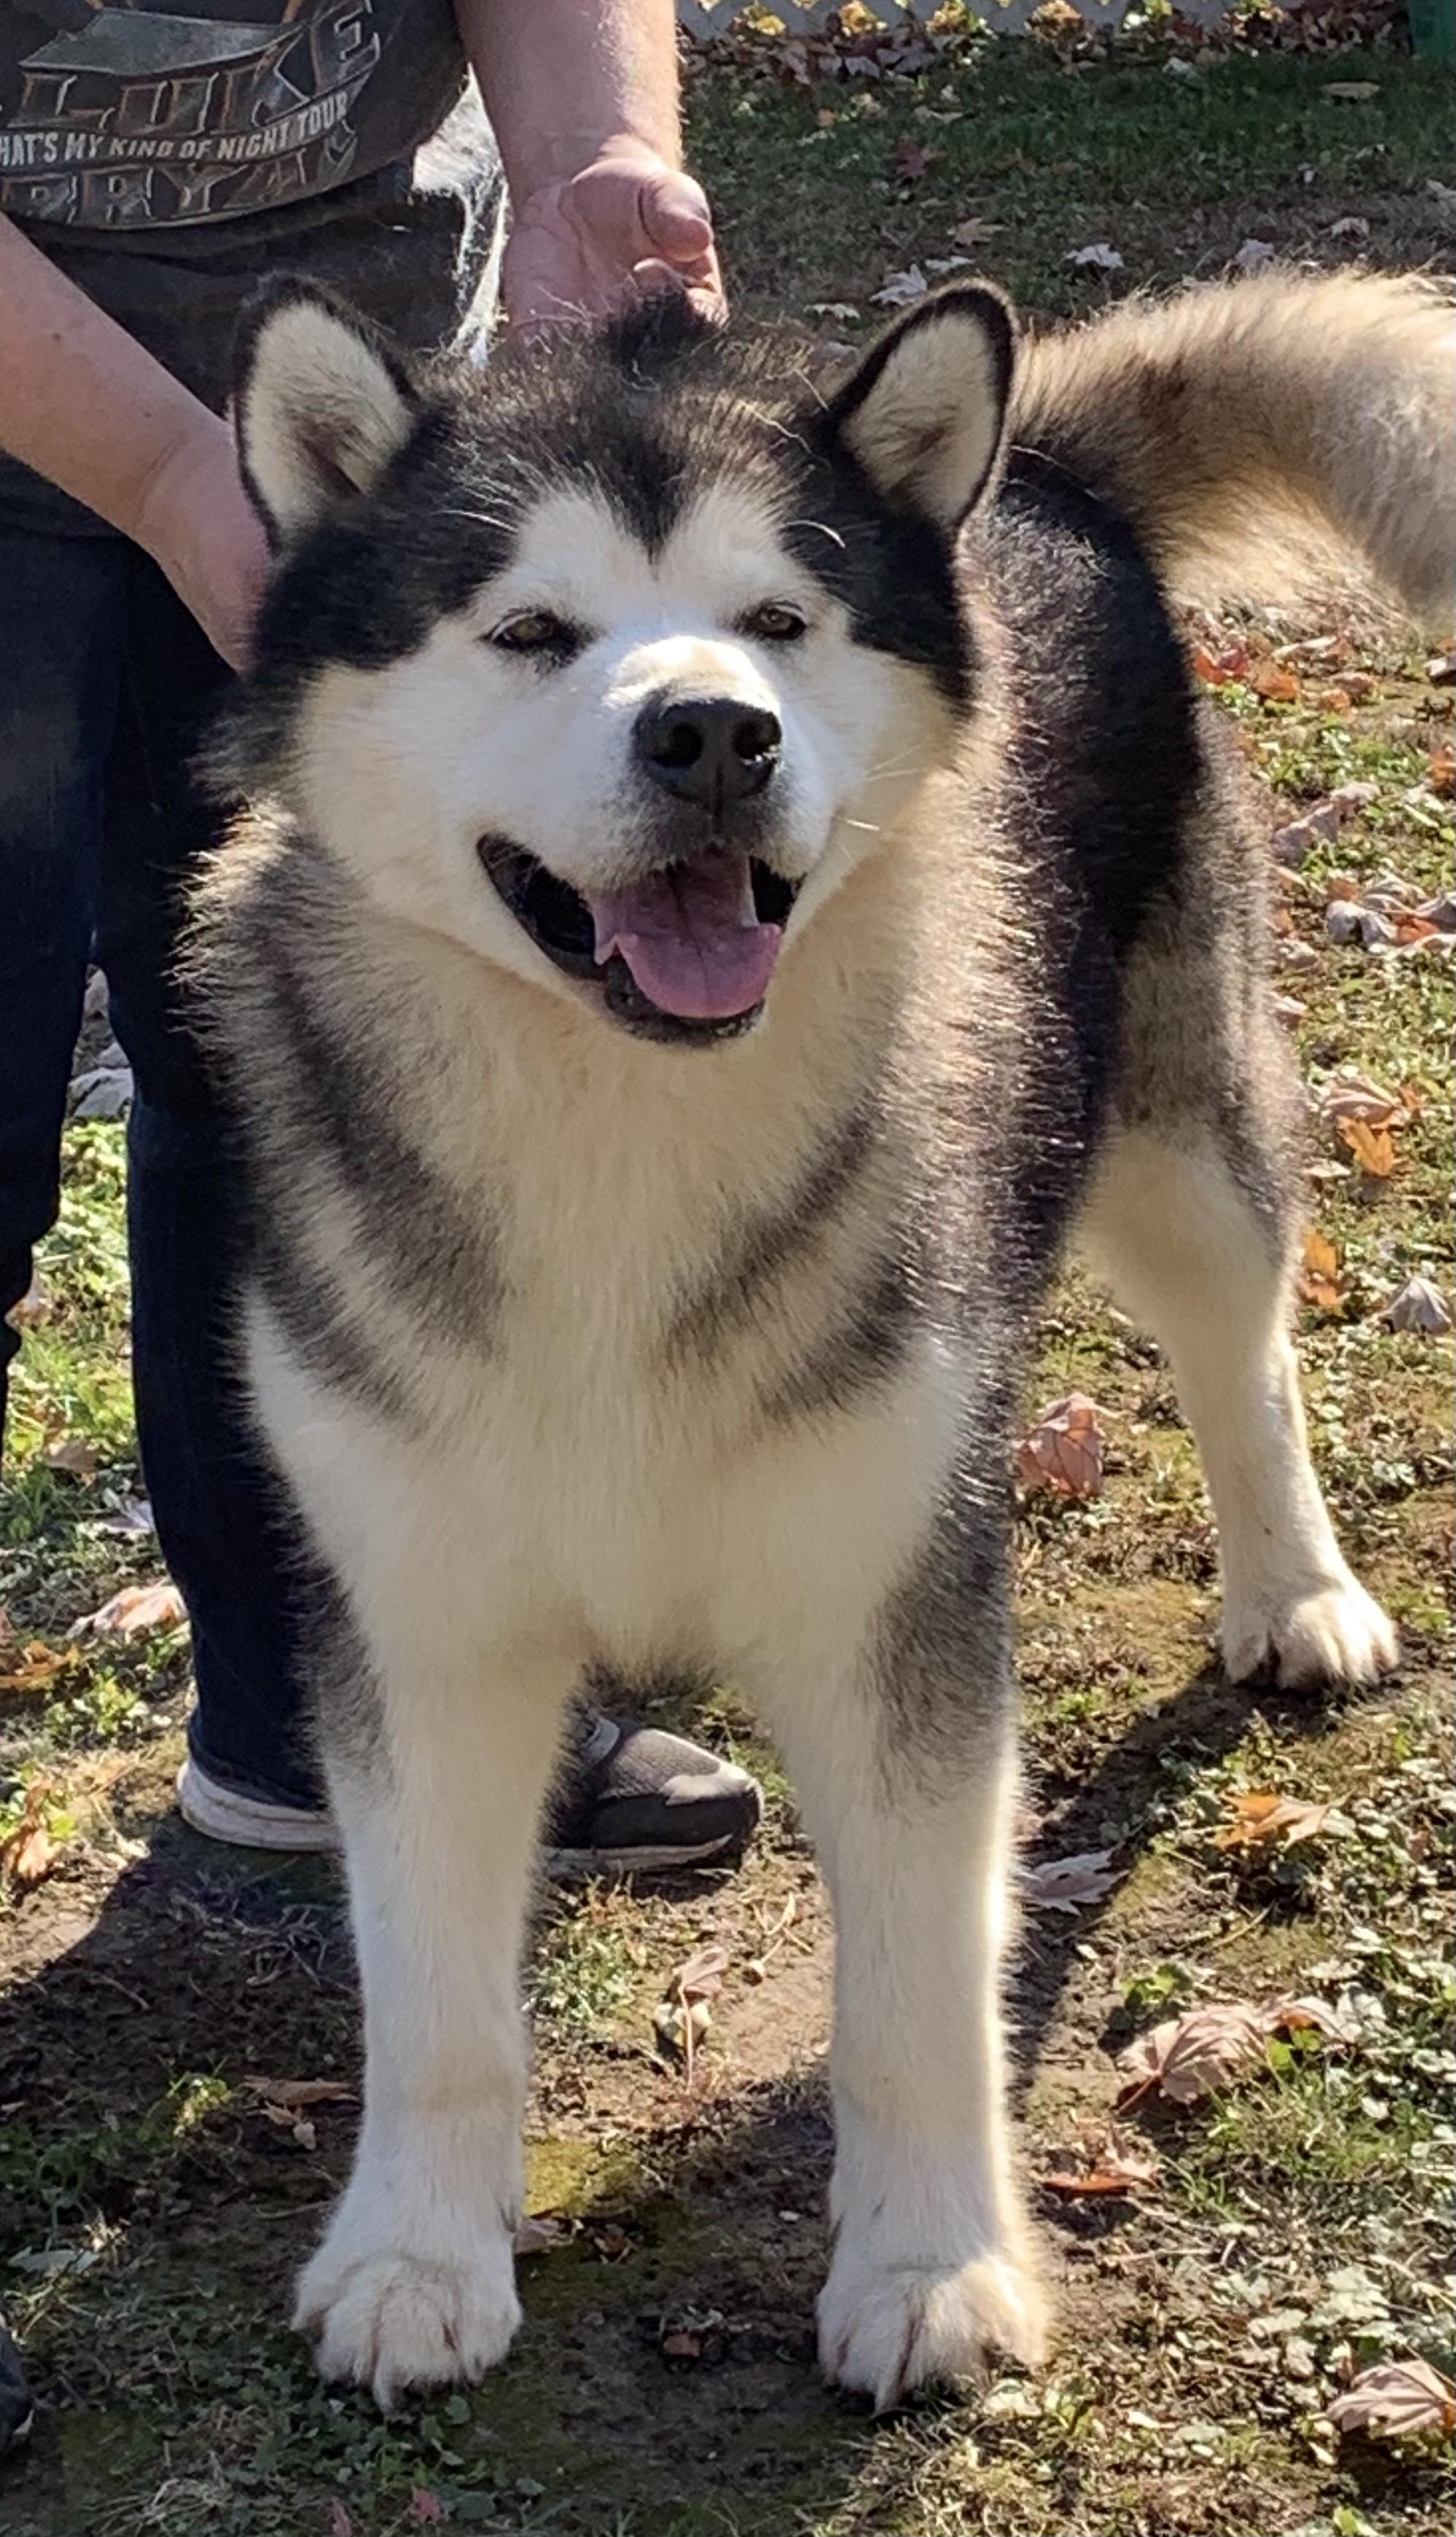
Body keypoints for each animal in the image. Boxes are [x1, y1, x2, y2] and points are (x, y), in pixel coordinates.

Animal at [193, 266, 1452, 2409]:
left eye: (782, 616)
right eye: (528, 627)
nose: (714, 729)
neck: (623, 1137)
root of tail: (1040, 482)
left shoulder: (899, 1608)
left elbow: (914, 2004)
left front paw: (933, 2263)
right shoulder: (419, 1620)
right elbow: (432, 2000)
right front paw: (418, 2252)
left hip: (1170, 1127)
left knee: (1244, 1347)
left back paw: (1296, 1587)